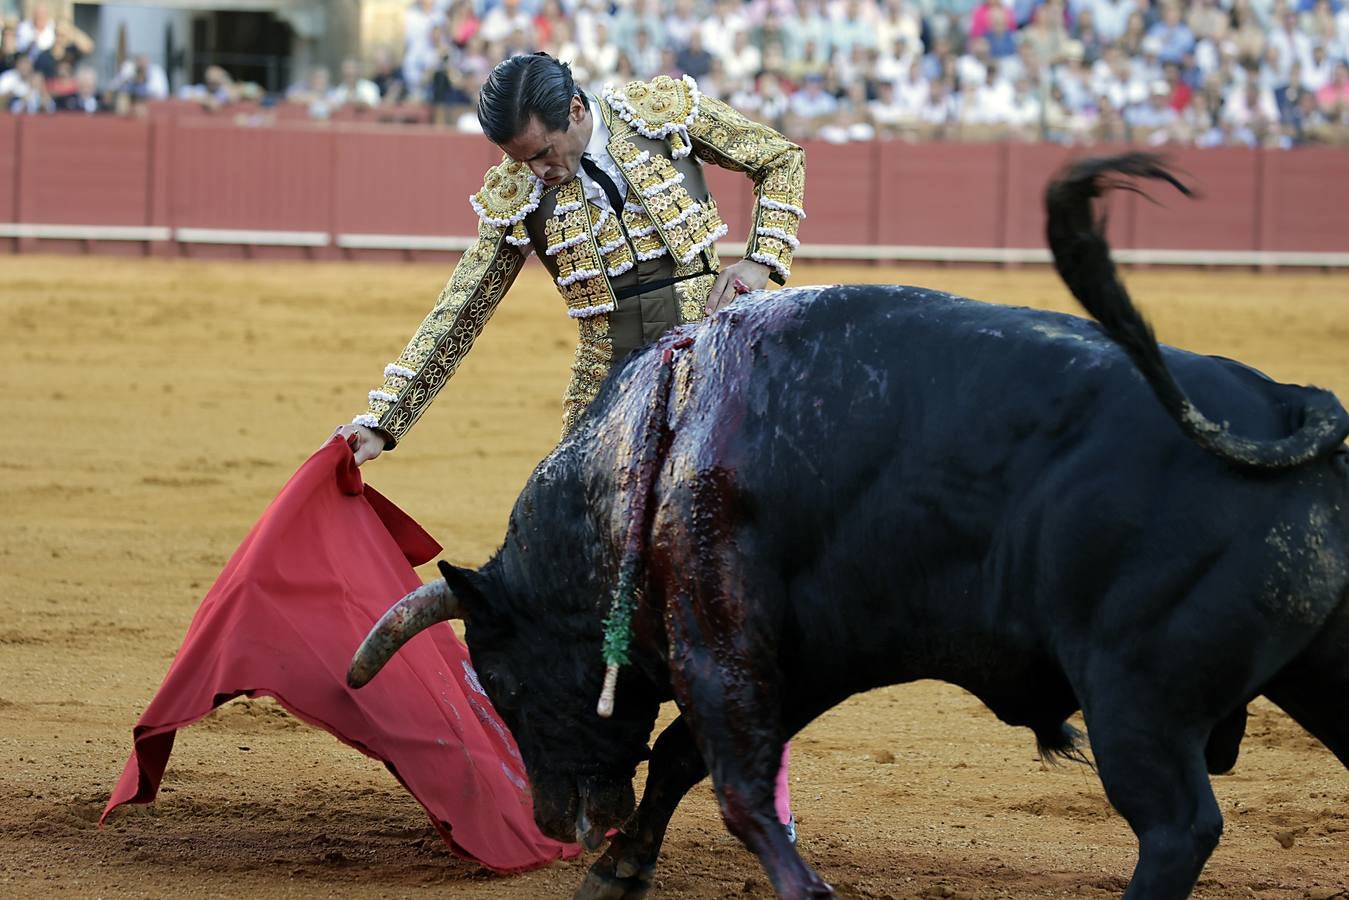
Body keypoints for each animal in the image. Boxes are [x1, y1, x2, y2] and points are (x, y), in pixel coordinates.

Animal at [350, 156, 1349, 900]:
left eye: (504, 685)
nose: (558, 823)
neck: (646, 460)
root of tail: (1282, 404)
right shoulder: (800, 654)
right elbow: (681, 759)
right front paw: (619, 868)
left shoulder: (719, 642)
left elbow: (736, 791)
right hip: (1310, 671)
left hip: (1134, 697)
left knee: (1177, 828)